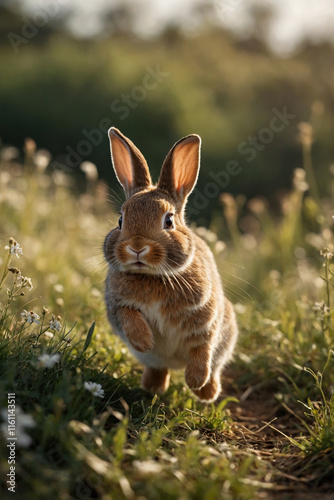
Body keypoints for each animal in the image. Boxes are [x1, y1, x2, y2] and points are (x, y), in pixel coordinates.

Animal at [103, 128, 237, 402]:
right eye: (121, 220)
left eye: (169, 221)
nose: (137, 247)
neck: (153, 275)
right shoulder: (118, 305)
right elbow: (129, 317)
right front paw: (145, 342)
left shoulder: (206, 317)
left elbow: (203, 348)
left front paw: (195, 381)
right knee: (158, 367)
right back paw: (153, 387)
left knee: (214, 366)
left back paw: (207, 392)